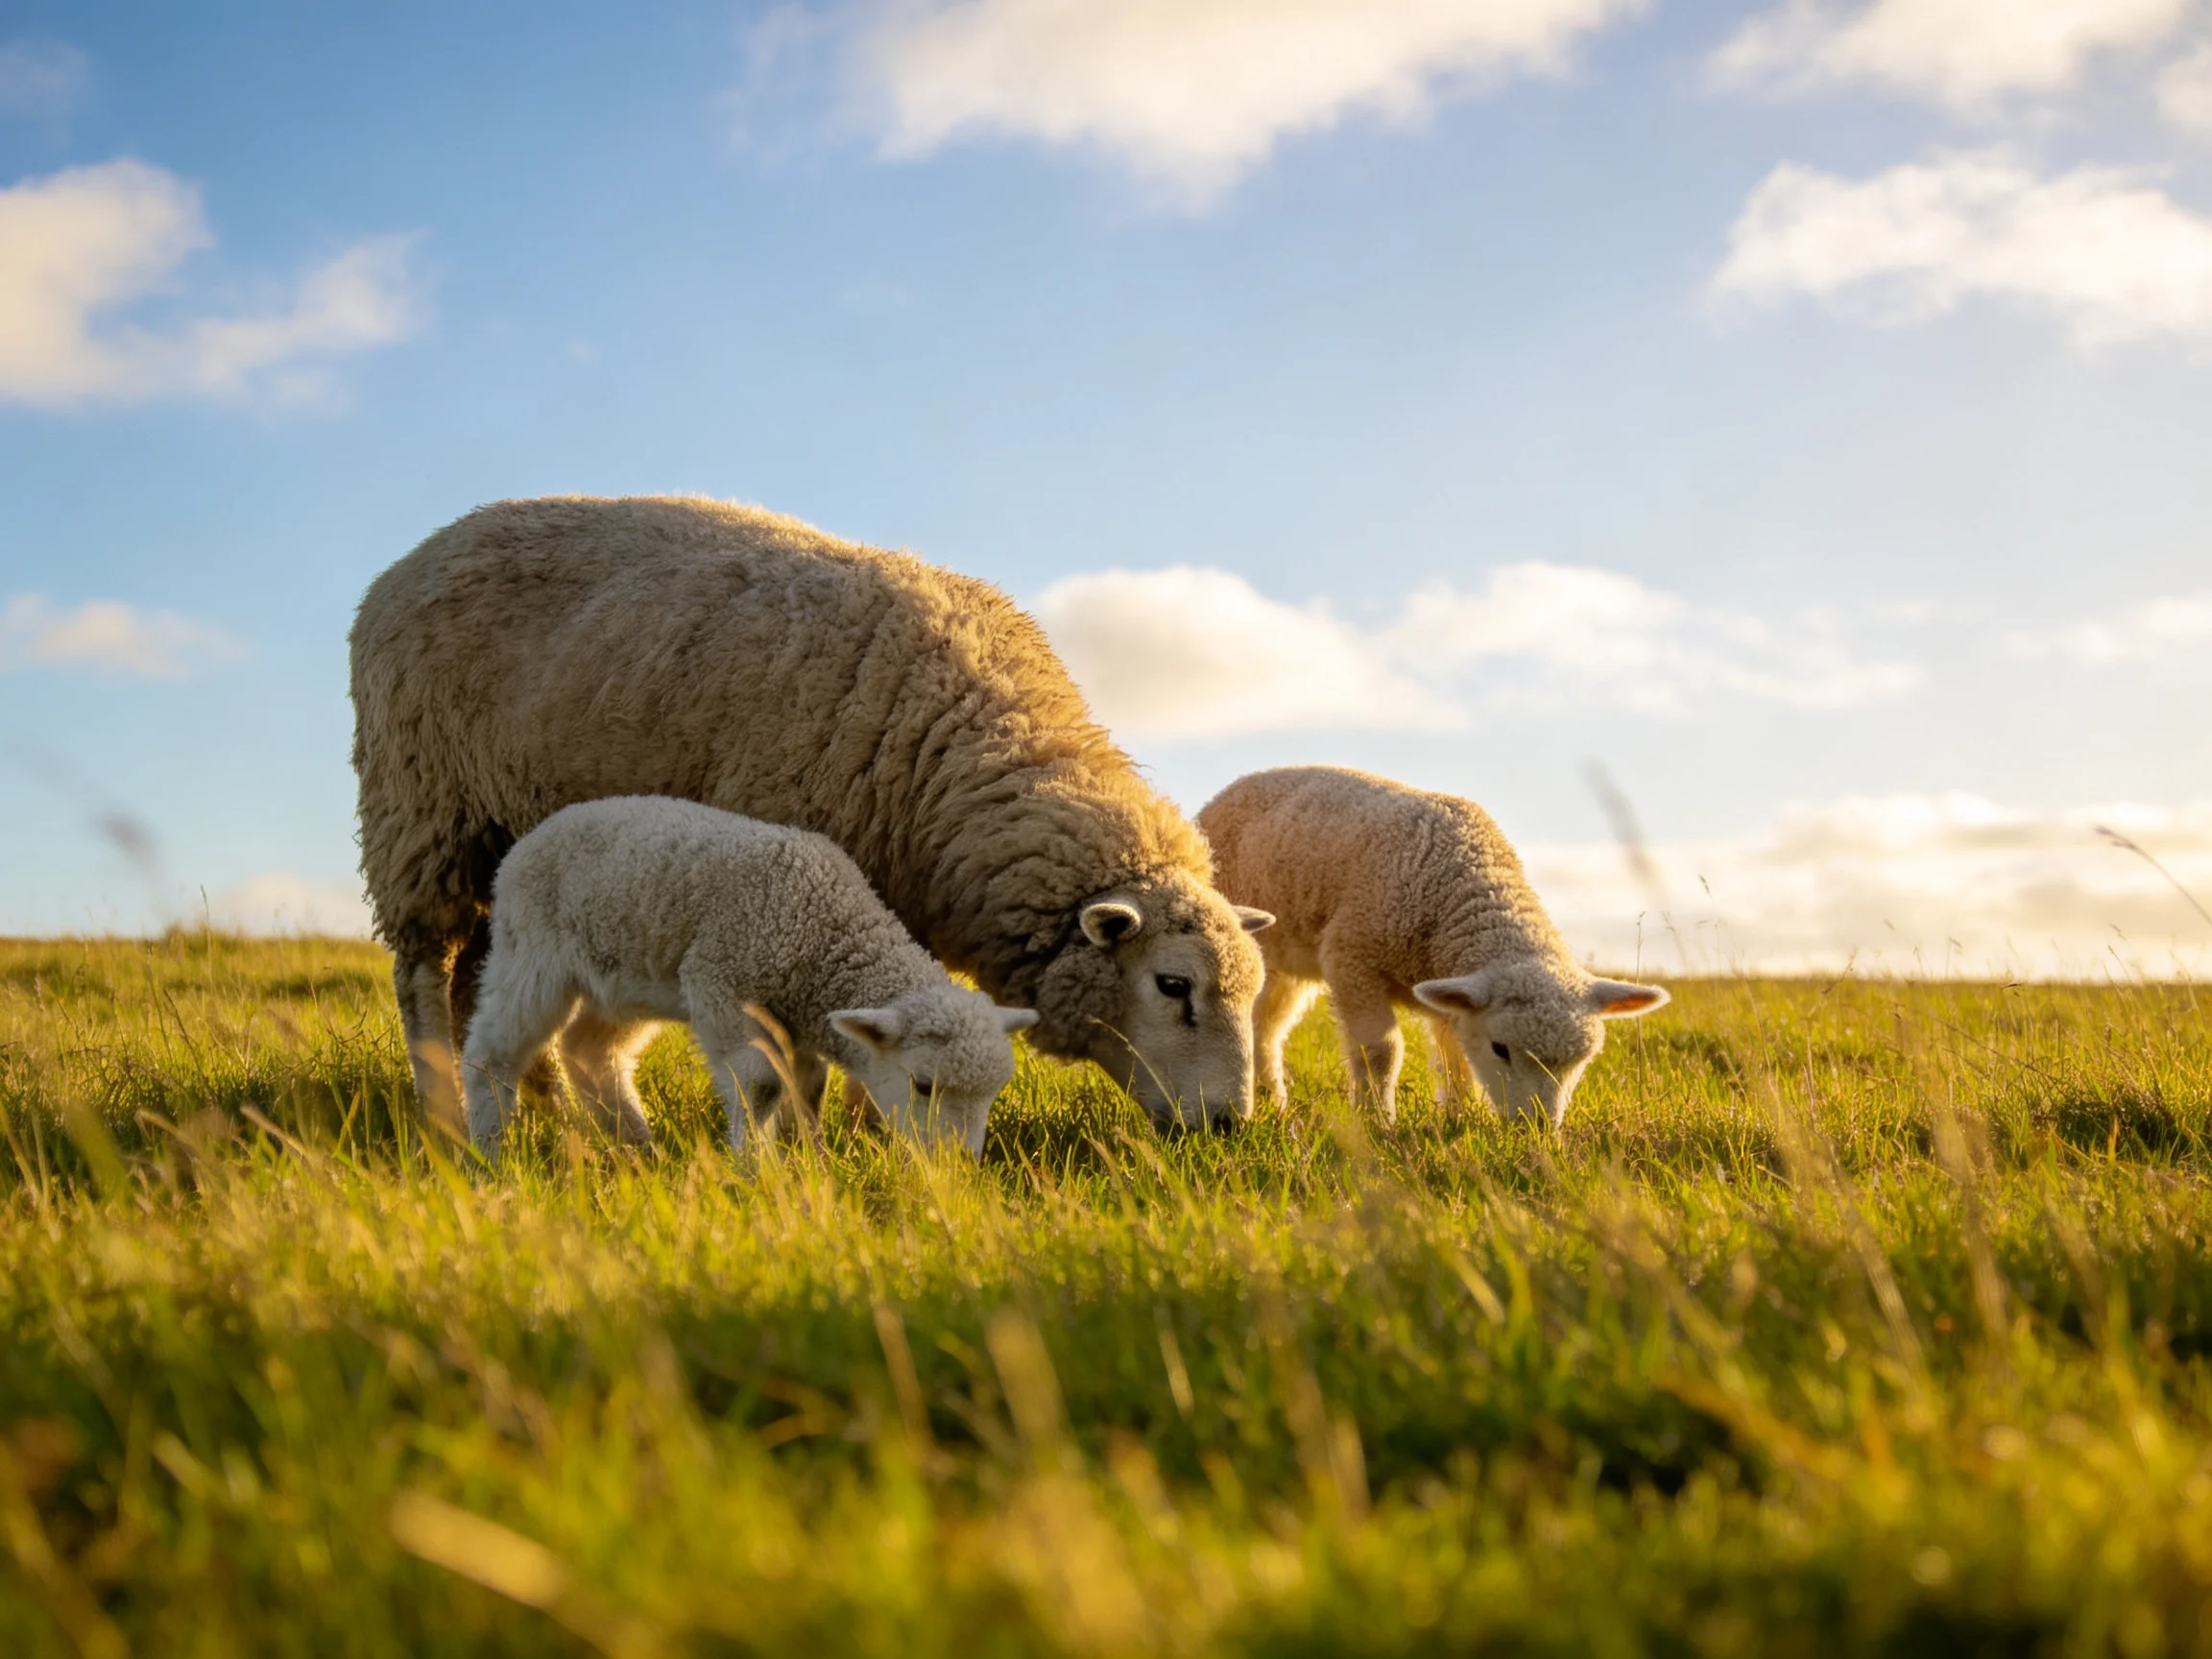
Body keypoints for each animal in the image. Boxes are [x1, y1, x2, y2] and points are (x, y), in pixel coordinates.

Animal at [460, 795, 1037, 1156]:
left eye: (993, 1093)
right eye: (923, 1085)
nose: (960, 1164)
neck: (823, 930)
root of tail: (537, 834)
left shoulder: (794, 1016)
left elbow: (807, 1086)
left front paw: (811, 1158)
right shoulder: (721, 979)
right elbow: (762, 1085)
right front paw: (754, 1167)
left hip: (628, 975)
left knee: (588, 1048)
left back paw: (636, 1144)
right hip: (531, 950)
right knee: (494, 1051)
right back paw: (490, 1152)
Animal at [1196, 766, 1667, 1127]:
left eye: (1580, 1061)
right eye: (1500, 1049)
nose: (1536, 1129)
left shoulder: (1450, 987)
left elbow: (1454, 1059)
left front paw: (1459, 1117)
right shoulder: (1353, 956)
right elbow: (1381, 1052)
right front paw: (1378, 1122)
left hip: (1283, 959)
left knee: (1266, 1025)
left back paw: (1267, 1096)